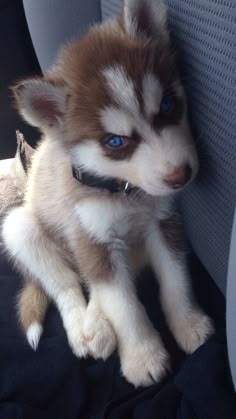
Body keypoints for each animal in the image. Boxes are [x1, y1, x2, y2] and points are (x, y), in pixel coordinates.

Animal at [1, 0, 213, 388]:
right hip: (20, 227)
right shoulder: (92, 236)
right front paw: (143, 356)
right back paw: (85, 327)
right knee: (68, 284)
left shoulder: (164, 223)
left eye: (167, 105)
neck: (124, 191)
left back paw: (98, 321)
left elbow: (176, 280)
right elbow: (123, 305)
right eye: (115, 142)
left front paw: (188, 323)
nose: (180, 176)